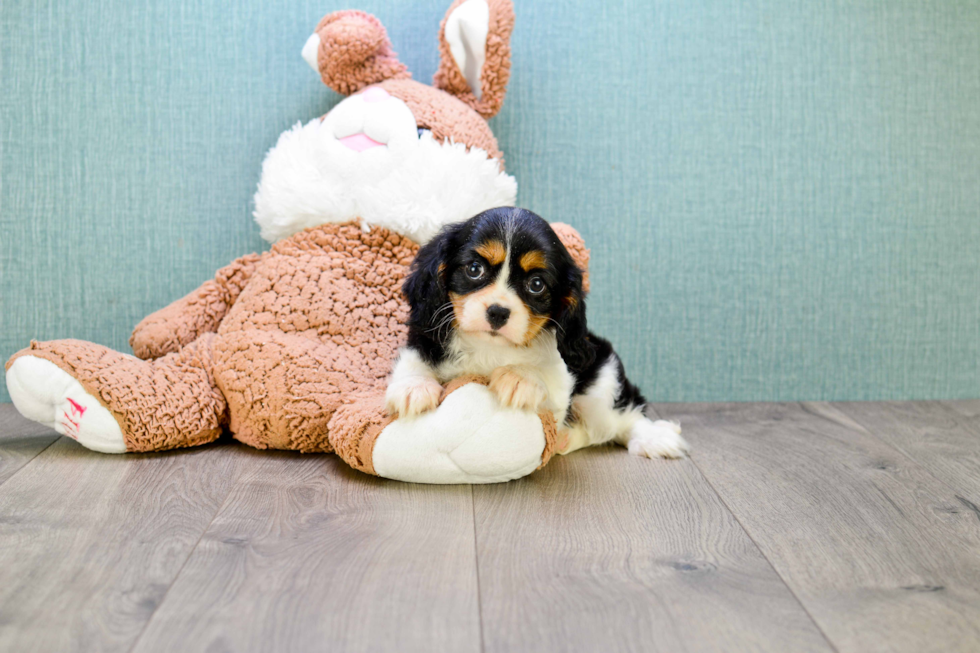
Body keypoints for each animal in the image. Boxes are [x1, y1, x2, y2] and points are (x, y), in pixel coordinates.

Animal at [386, 209, 692, 458]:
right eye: (474, 269)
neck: (491, 349)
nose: (498, 311)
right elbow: (415, 359)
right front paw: (414, 387)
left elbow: (547, 378)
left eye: (536, 284)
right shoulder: (426, 336)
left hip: (602, 382)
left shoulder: (563, 380)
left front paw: (519, 377)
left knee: (620, 419)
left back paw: (652, 437)